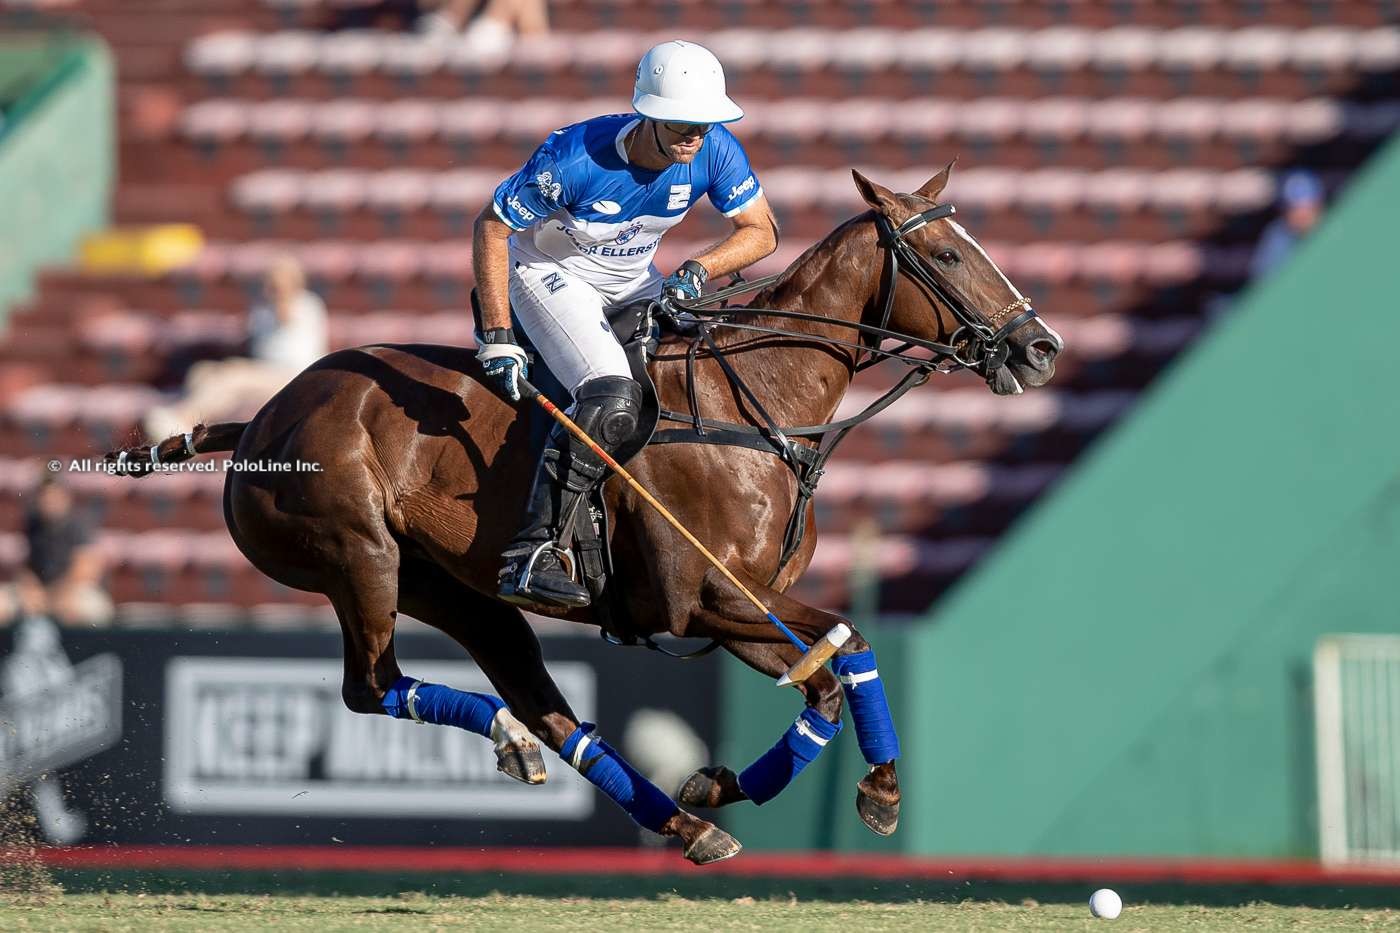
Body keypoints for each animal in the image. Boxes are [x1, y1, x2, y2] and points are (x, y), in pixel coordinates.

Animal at [112, 165, 1058, 857]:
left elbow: (841, 658)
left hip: (456, 590)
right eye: (947, 256)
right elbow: (835, 661)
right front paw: (834, 786)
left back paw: (666, 811)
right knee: (371, 685)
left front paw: (759, 785)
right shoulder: (701, 599)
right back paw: (521, 741)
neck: (755, 402)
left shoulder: (742, 607)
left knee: (542, 702)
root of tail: (259, 421)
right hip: (357, 554)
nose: (1039, 347)